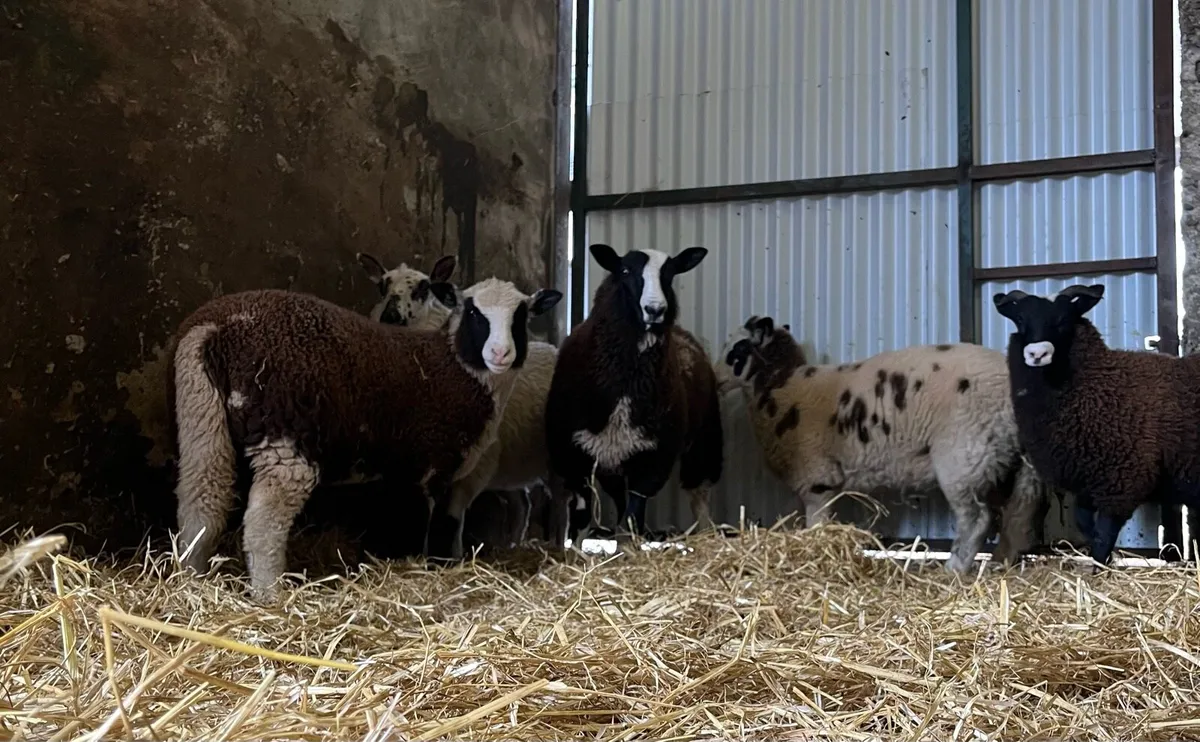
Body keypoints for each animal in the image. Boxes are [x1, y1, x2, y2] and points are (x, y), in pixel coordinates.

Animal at [169, 278, 561, 600]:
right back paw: (270, 596)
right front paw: (427, 569)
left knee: (201, 503)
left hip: (199, 416)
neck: (455, 369)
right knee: (264, 523)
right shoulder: (430, 466)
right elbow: (431, 526)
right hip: (285, 438)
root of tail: (217, 327)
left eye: (521, 316)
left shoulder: (401, 472)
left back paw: (192, 580)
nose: (500, 354)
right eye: (474, 312)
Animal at [356, 252, 575, 554]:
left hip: (558, 461)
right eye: (382, 286)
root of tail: (554, 348)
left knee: (560, 507)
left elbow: (452, 519)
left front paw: (452, 556)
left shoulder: (473, 468)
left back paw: (558, 549)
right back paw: (512, 547)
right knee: (522, 505)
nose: (391, 316)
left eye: (423, 288)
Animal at [545, 243, 724, 539]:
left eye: (670, 273)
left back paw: (706, 531)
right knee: (620, 498)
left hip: (704, 438)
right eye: (625, 270)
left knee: (699, 491)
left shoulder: (655, 454)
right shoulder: (574, 455)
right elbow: (584, 514)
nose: (655, 309)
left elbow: (634, 512)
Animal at [714, 315, 1050, 572]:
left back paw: (954, 570)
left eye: (738, 348)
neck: (780, 387)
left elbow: (817, 527)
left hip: (965, 455)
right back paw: (999, 562)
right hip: (1004, 459)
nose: (716, 380)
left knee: (977, 519)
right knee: (1016, 513)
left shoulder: (817, 479)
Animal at [992, 283, 1200, 567]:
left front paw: (1101, 567)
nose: (1037, 354)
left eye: (1063, 320)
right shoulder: (1087, 480)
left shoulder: (1122, 480)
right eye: (1021, 319)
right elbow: (1085, 525)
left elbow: (1103, 537)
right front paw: (1108, 559)